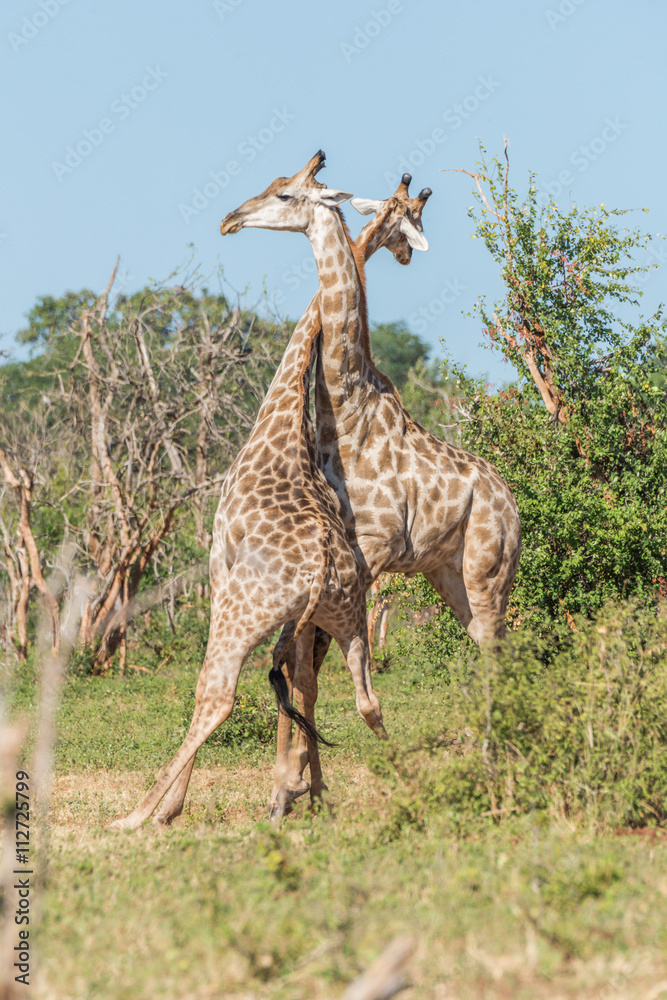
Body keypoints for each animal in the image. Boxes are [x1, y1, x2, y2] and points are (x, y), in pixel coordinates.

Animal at [109, 151, 394, 830]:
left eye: (285, 193)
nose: (229, 219)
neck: (282, 415)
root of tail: (322, 571)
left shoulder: (217, 564)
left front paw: (174, 808)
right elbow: (306, 690)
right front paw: (304, 790)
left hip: (242, 614)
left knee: (217, 694)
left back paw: (139, 815)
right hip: (347, 618)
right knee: (366, 700)